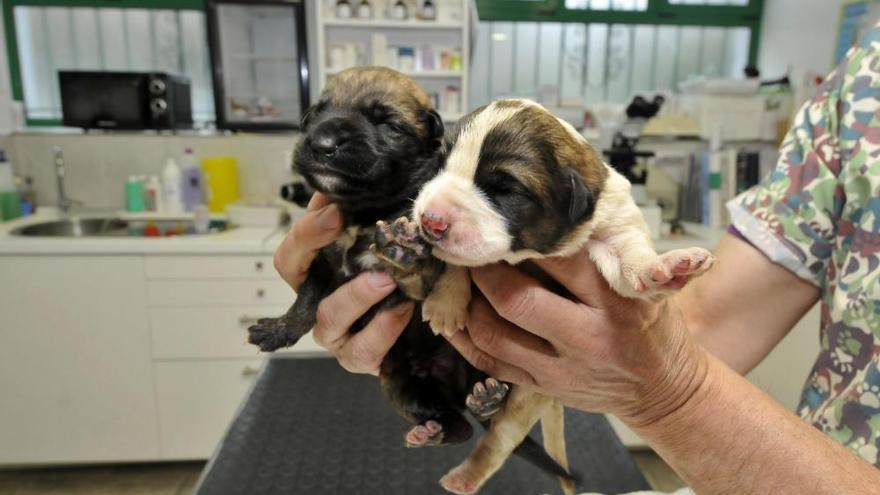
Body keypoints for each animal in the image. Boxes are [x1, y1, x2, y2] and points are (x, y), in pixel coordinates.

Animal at [400, 99, 716, 494]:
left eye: (505, 190)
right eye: (440, 165)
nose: (431, 221)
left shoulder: (615, 227)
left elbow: (630, 259)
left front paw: (668, 267)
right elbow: (458, 263)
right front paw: (446, 302)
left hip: (525, 398)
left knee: (499, 442)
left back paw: (468, 464)